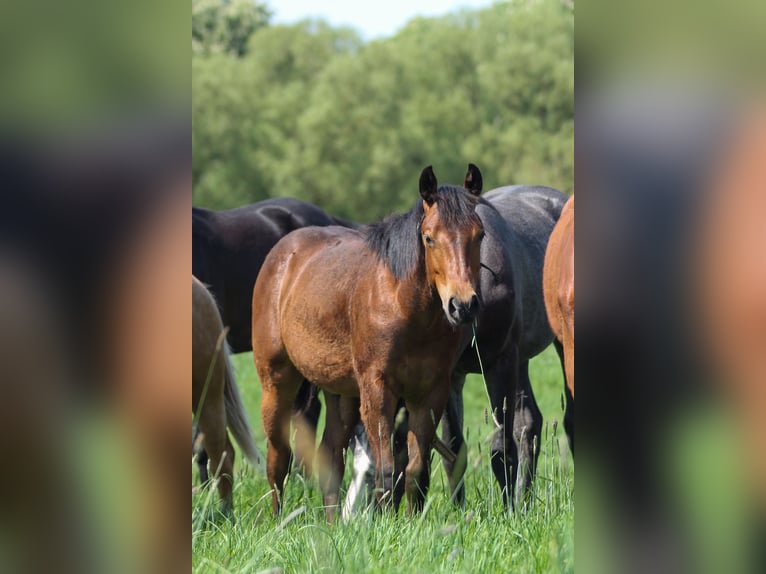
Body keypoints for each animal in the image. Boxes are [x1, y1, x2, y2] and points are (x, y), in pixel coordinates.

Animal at [251, 165, 486, 520]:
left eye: (480, 234)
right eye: (429, 237)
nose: (463, 305)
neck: (405, 308)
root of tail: (280, 255)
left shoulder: (430, 392)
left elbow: (415, 469)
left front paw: (411, 522)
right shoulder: (377, 389)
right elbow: (386, 469)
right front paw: (385, 521)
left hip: (341, 394)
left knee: (331, 457)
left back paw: (332, 524)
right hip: (277, 383)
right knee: (278, 458)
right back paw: (279, 520)